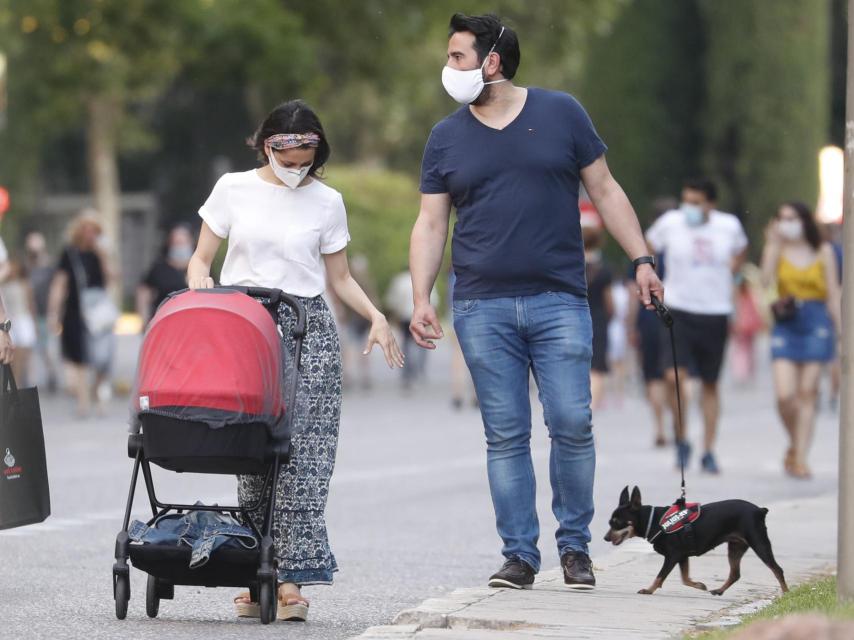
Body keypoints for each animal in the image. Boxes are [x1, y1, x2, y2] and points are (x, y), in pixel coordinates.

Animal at [600, 490, 788, 596]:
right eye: (610, 522)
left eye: (617, 523)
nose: (605, 538)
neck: (654, 521)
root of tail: (760, 510)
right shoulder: (682, 556)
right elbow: (684, 579)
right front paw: (700, 585)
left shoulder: (673, 556)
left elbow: (660, 576)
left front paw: (649, 590)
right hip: (736, 546)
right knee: (735, 573)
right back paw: (719, 590)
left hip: (759, 542)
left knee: (777, 569)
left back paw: (786, 593)